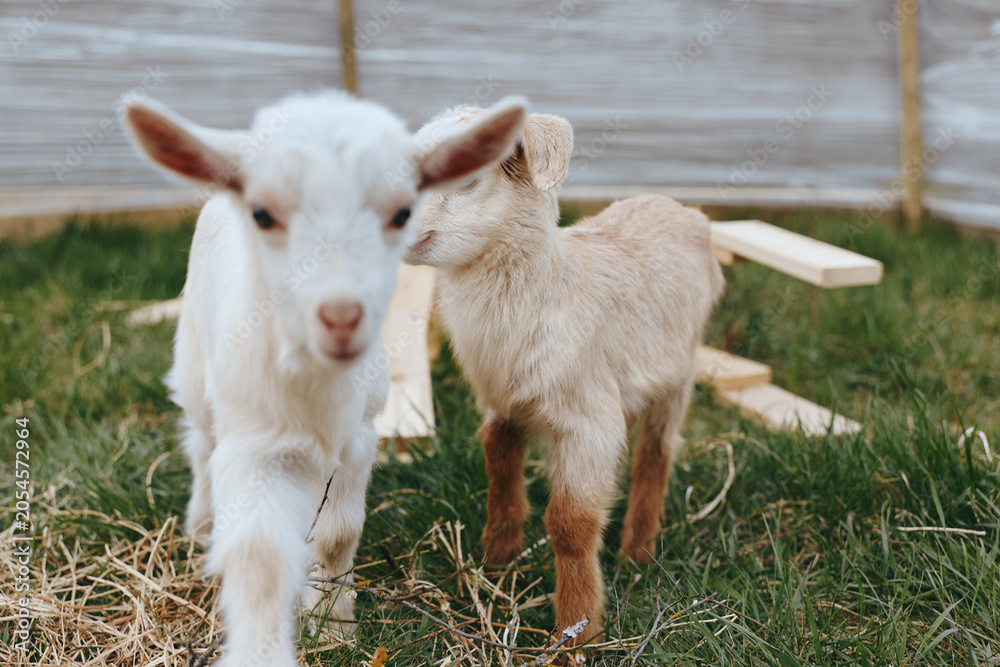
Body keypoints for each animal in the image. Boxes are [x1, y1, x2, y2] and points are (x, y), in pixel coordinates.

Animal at [123, 91, 527, 667]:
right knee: (199, 441)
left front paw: (335, 627)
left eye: (401, 213)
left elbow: (338, 533)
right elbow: (259, 554)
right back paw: (199, 524)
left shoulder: (360, 436)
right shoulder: (252, 444)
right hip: (196, 364)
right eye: (263, 214)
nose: (341, 317)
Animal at [404, 108, 724, 644]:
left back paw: (638, 551)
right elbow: (498, 465)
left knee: (655, 454)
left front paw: (576, 632)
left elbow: (570, 524)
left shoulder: (586, 421)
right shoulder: (504, 405)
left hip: (680, 371)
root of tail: (681, 208)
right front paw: (496, 560)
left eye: (468, 176)